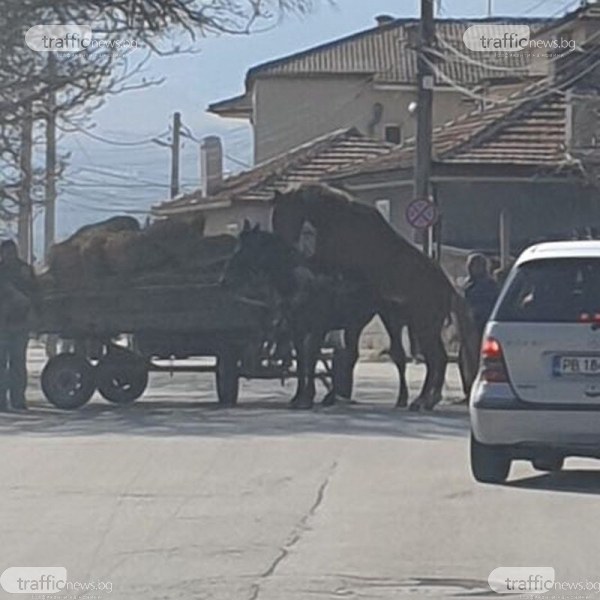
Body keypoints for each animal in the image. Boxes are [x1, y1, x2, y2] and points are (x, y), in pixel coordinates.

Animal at [223, 223, 410, 410]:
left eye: (245, 249)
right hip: (355, 322)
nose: (225, 278)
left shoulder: (318, 327)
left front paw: (307, 398)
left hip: (389, 317)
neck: (299, 281)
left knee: (397, 354)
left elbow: (311, 358)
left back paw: (402, 398)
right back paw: (332, 396)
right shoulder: (296, 329)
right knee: (351, 356)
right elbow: (301, 361)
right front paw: (298, 397)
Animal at [272, 180, 478, 410]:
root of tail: (447, 288)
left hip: (425, 325)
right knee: (436, 360)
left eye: (283, 214)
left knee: (437, 359)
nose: (282, 245)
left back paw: (423, 400)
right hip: (423, 326)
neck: (338, 220)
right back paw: (426, 400)